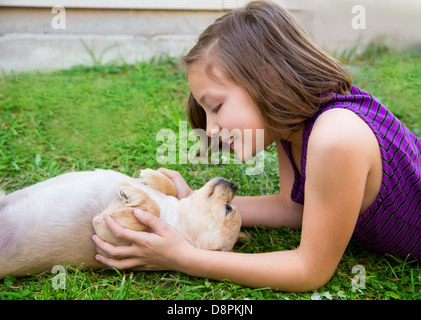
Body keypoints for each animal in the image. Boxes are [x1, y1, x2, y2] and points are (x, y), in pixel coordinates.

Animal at [0, 170, 240, 278]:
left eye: (228, 209)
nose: (234, 184)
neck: (174, 216)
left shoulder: (106, 229)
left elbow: (150, 211)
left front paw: (132, 193)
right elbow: (169, 188)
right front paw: (152, 177)